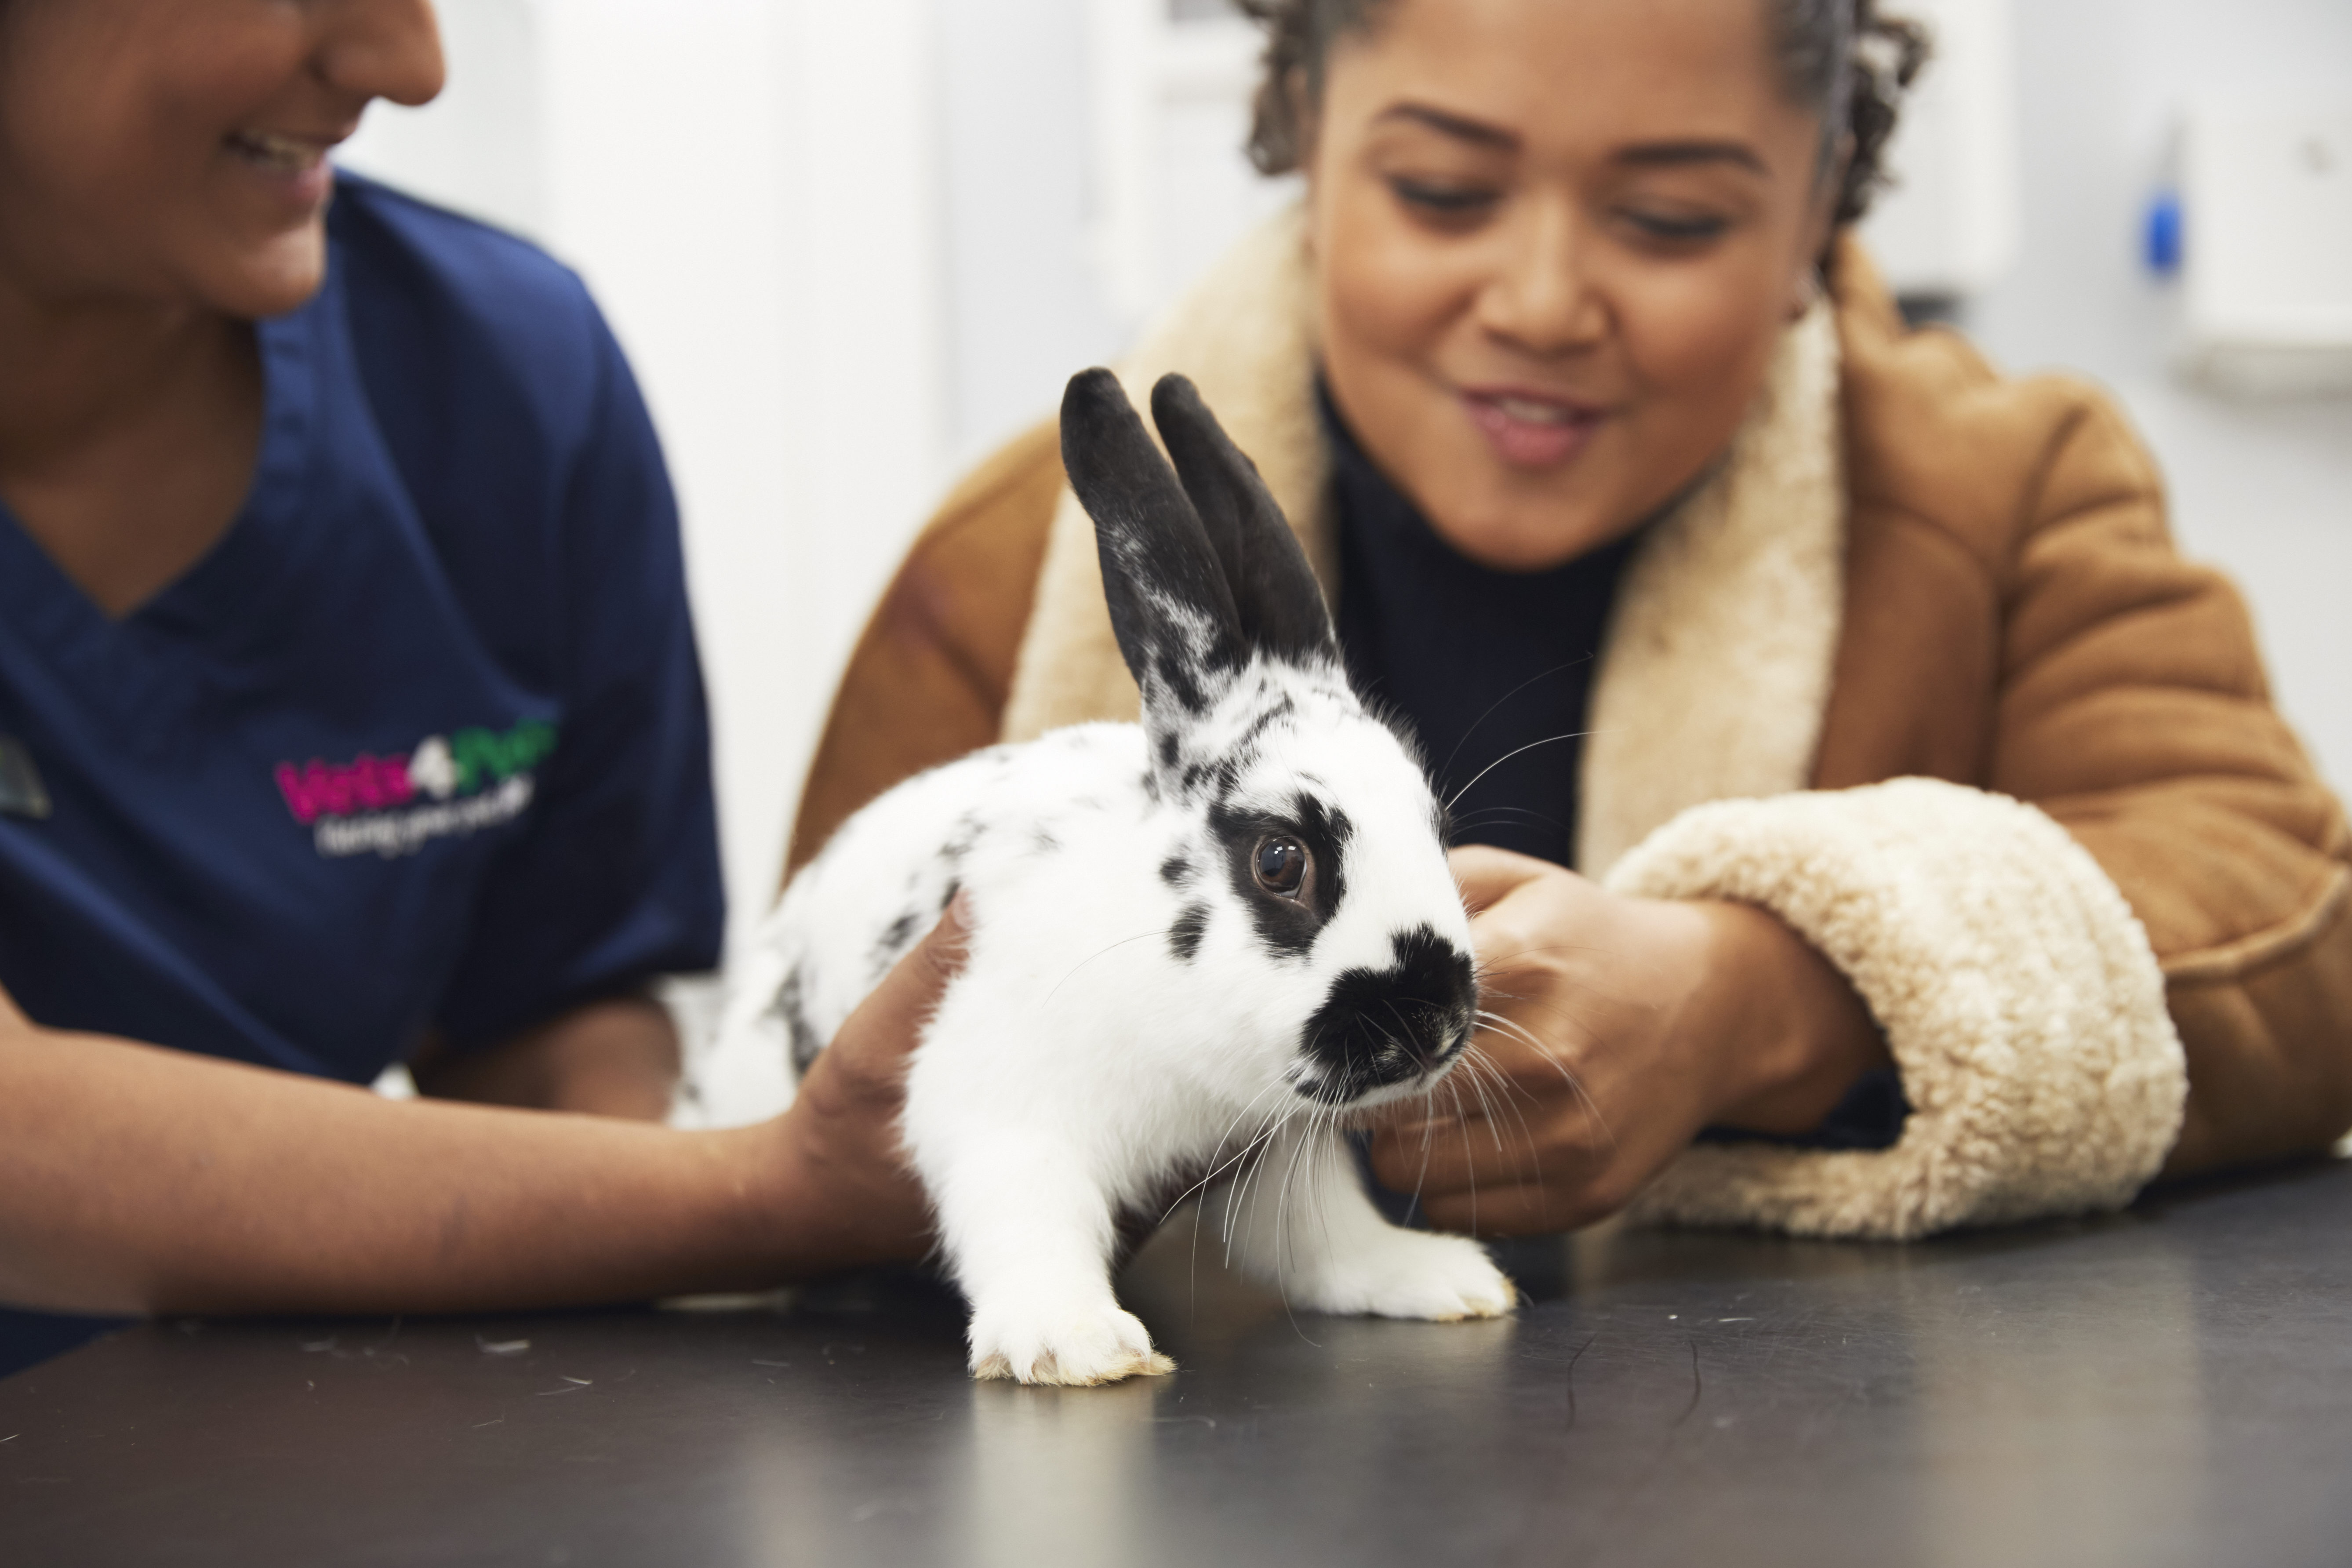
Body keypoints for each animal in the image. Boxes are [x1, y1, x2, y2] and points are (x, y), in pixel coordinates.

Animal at [715, 369, 1515, 1382]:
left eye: (1433, 826)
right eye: (1280, 861)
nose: (1433, 1019)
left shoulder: (1269, 1150)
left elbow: (1323, 1234)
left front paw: (1441, 1280)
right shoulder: (999, 1105)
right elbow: (1028, 1215)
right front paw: (1079, 1344)